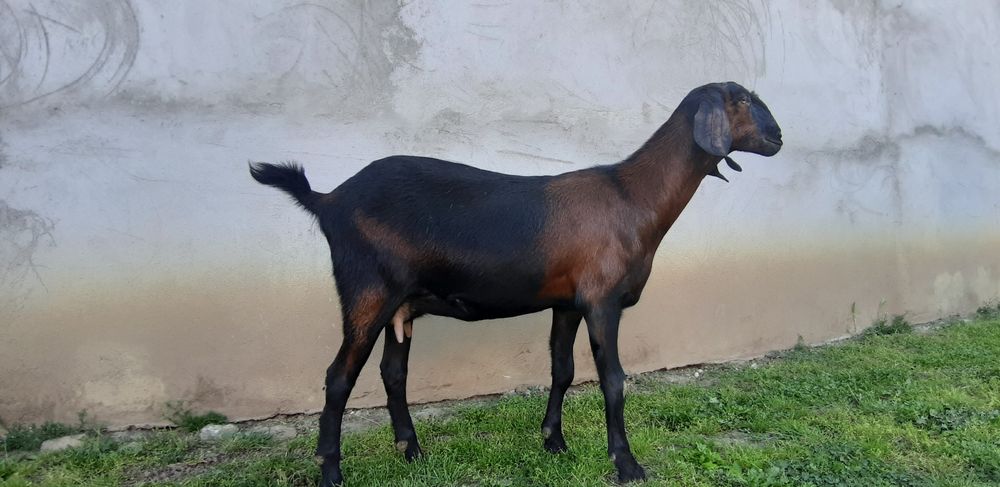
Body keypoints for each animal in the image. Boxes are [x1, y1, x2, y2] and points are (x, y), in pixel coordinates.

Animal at [250, 81, 782, 485]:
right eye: (741, 99)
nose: (778, 136)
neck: (631, 197)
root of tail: (328, 200)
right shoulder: (602, 300)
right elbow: (612, 379)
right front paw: (627, 465)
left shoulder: (567, 302)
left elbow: (562, 370)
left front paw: (555, 442)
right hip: (367, 292)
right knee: (338, 378)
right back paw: (331, 473)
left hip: (401, 304)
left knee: (392, 373)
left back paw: (413, 453)